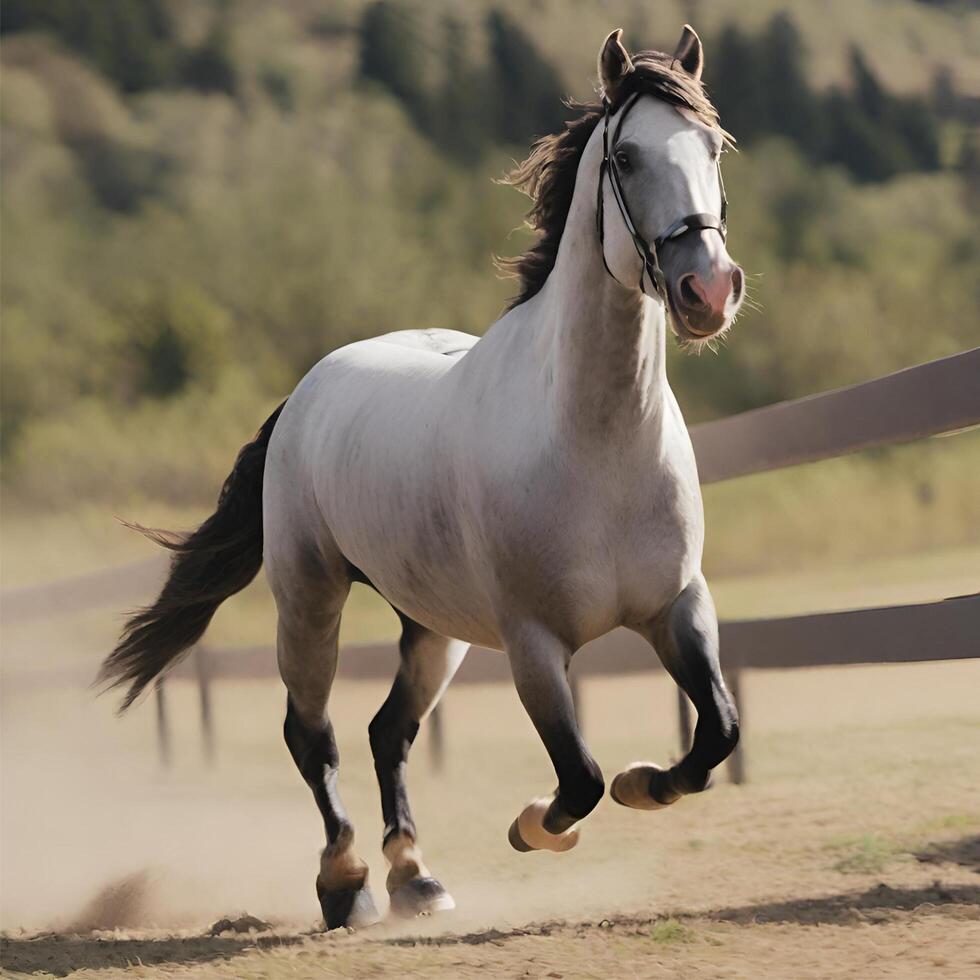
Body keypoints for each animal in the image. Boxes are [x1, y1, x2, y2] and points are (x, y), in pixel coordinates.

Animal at [99, 26, 744, 936]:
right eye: (625, 155)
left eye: (712, 146)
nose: (707, 291)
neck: (595, 447)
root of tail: (306, 392)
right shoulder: (533, 643)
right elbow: (578, 777)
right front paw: (533, 826)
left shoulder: (677, 607)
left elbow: (714, 734)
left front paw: (643, 783)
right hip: (312, 600)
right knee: (314, 735)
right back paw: (348, 884)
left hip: (434, 628)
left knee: (387, 733)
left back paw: (417, 878)